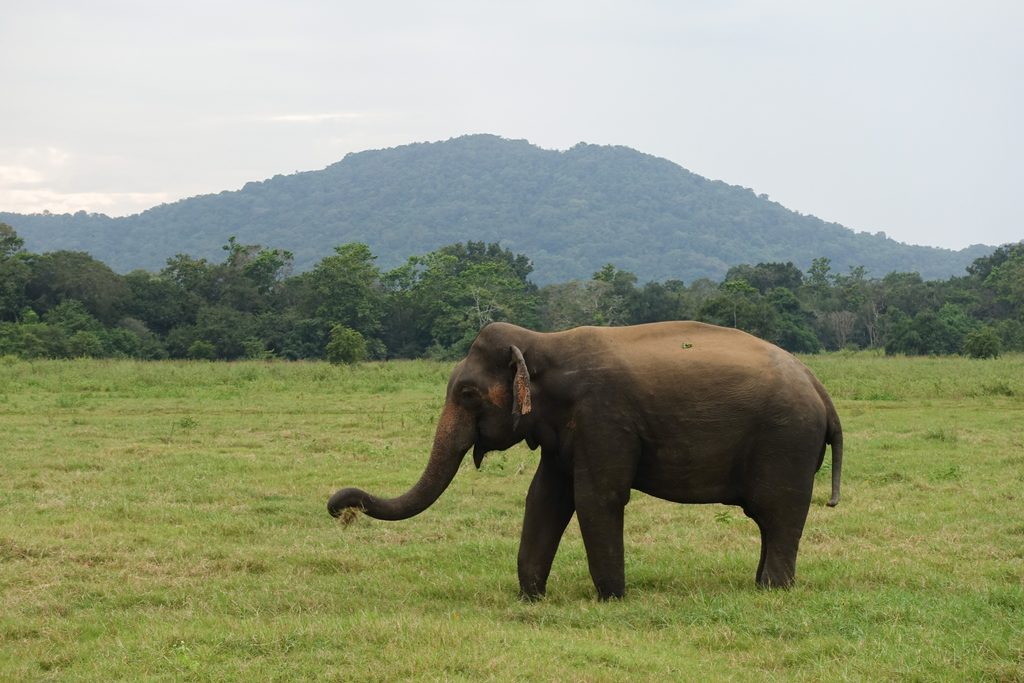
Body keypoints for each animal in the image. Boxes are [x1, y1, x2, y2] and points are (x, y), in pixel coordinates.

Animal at [328, 321, 843, 600]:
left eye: (468, 394)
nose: (338, 507)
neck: (544, 342)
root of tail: (821, 390)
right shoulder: (563, 432)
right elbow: (544, 499)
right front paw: (531, 598)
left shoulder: (604, 417)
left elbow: (597, 498)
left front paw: (611, 599)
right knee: (771, 522)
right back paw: (759, 586)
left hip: (786, 443)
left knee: (778, 515)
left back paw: (772, 590)